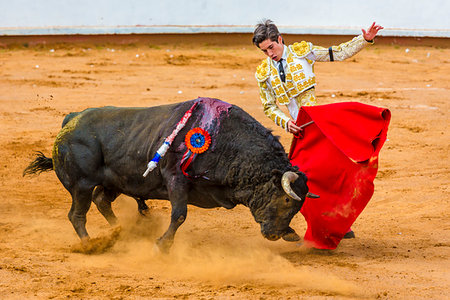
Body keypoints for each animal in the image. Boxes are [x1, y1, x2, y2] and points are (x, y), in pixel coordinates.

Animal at [22, 98, 314, 251]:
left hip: (114, 182)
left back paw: (120, 232)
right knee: (77, 215)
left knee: (101, 201)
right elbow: (179, 214)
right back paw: (91, 245)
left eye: (298, 207)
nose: (276, 234)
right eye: (286, 200)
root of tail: (72, 118)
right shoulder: (175, 178)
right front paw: (163, 244)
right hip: (81, 184)